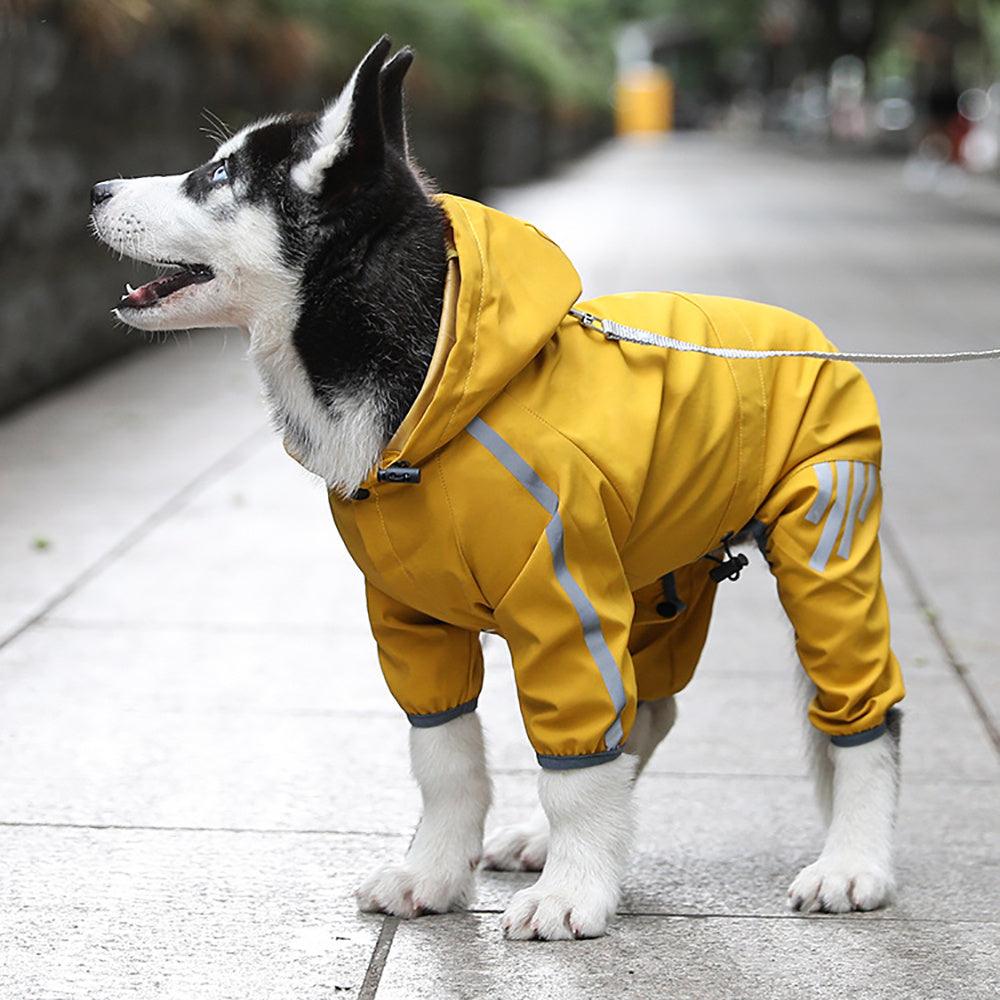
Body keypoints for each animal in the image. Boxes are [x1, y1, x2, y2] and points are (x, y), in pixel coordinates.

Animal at [94, 37, 904, 936]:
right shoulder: (412, 619)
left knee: (862, 712)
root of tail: (808, 335)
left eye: (219, 174)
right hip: (659, 578)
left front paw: (575, 891)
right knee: (649, 710)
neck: (431, 380)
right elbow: (445, 756)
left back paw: (853, 861)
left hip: (824, 542)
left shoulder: (562, 601)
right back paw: (552, 840)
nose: (96, 190)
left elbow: (575, 761)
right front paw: (437, 872)